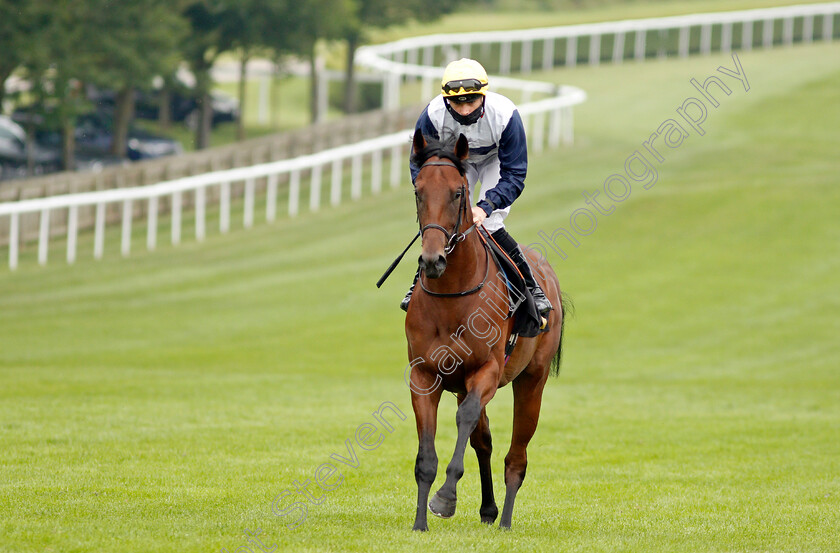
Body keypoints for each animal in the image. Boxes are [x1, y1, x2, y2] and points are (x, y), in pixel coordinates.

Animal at [406, 129, 568, 532]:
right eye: (418, 190)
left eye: (457, 192)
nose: (432, 260)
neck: (452, 297)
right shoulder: (425, 375)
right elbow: (428, 454)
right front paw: (420, 522)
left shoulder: (487, 372)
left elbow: (465, 421)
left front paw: (446, 497)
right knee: (485, 441)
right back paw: (490, 509)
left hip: (532, 380)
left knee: (516, 457)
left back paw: (506, 519)